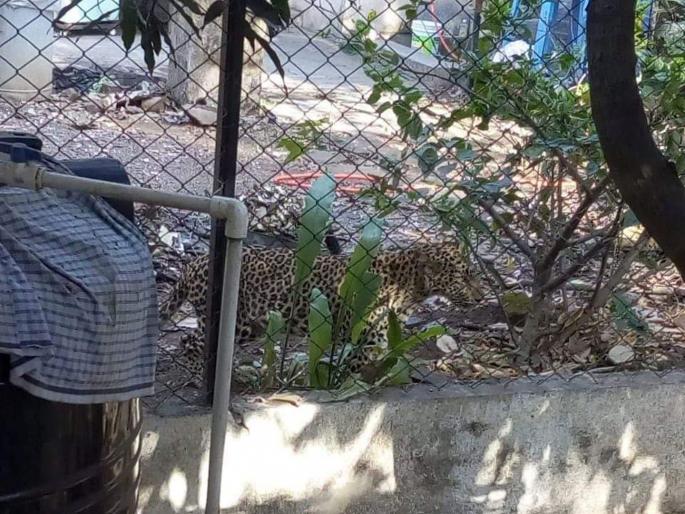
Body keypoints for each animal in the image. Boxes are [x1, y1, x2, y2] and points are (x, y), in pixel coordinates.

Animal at [160, 241, 484, 379]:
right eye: (464, 277)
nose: (481, 297)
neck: (411, 287)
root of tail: (192, 264)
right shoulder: (365, 339)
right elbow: (351, 370)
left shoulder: (378, 340)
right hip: (234, 321)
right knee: (188, 341)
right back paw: (199, 374)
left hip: (253, 326)